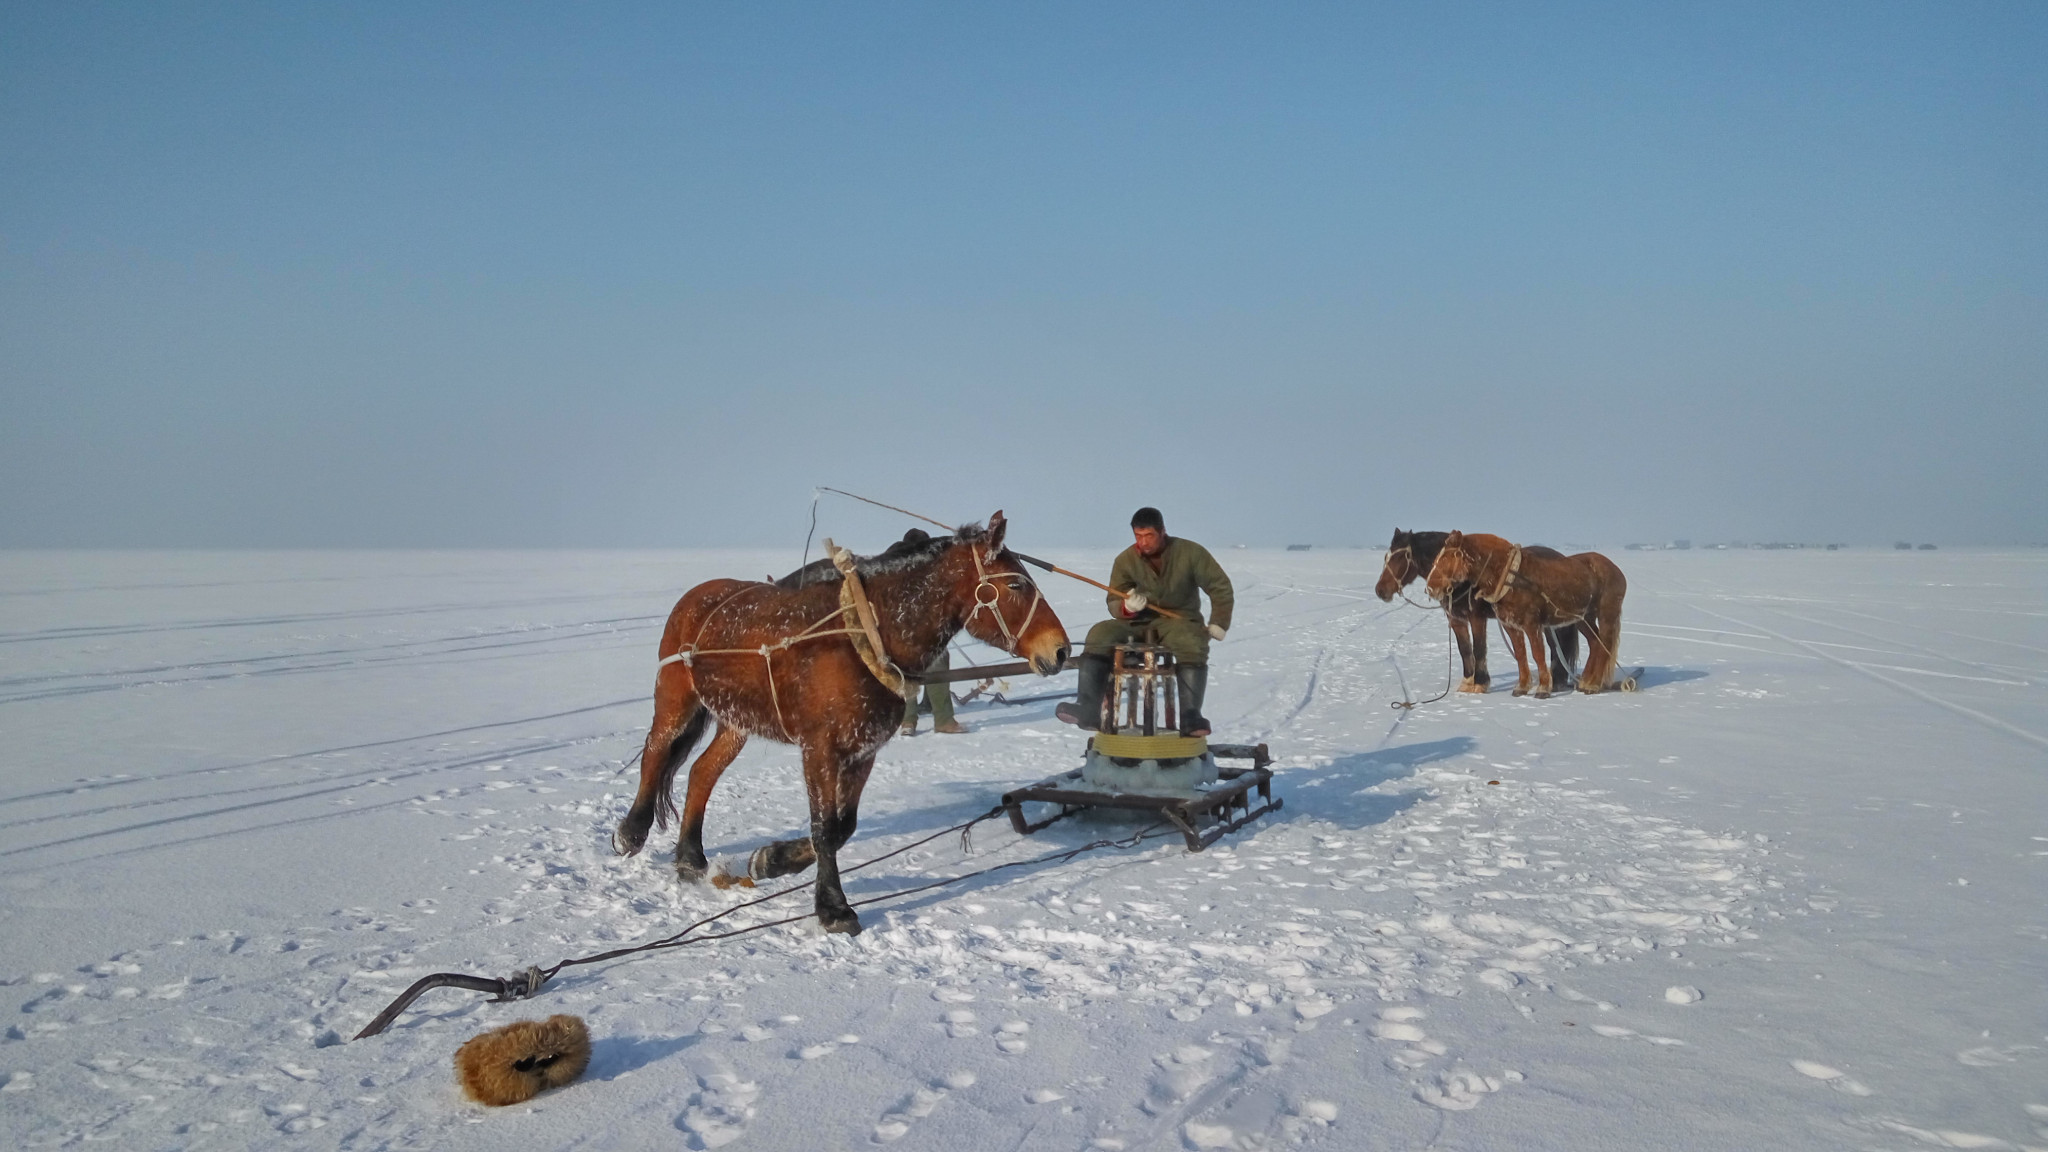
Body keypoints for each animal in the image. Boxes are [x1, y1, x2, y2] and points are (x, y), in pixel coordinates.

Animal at [610, 510, 1073, 934]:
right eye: (1016, 584)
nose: (1061, 650)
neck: (865, 636)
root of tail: (697, 595)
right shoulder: (821, 748)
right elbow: (824, 829)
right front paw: (833, 907)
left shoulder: (862, 751)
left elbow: (842, 828)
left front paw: (772, 860)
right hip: (677, 699)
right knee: (656, 753)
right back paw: (631, 832)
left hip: (736, 719)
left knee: (703, 772)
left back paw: (690, 857)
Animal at [1376, 528, 1581, 688]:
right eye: (1387, 556)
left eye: (1401, 557)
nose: (1380, 590)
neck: (1463, 581)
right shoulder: (1456, 619)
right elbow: (1465, 649)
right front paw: (1467, 681)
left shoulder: (1477, 617)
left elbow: (1479, 648)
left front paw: (1480, 683)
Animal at [1425, 532, 1630, 701]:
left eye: (1449, 557)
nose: (1431, 587)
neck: (1510, 576)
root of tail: (1615, 569)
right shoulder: (1511, 625)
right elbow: (1521, 654)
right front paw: (1522, 687)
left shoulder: (1532, 624)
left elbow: (1537, 654)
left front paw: (1543, 688)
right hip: (1582, 618)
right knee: (1595, 643)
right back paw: (1587, 680)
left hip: (1607, 614)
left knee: (1605, 646)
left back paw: (1593, 685)